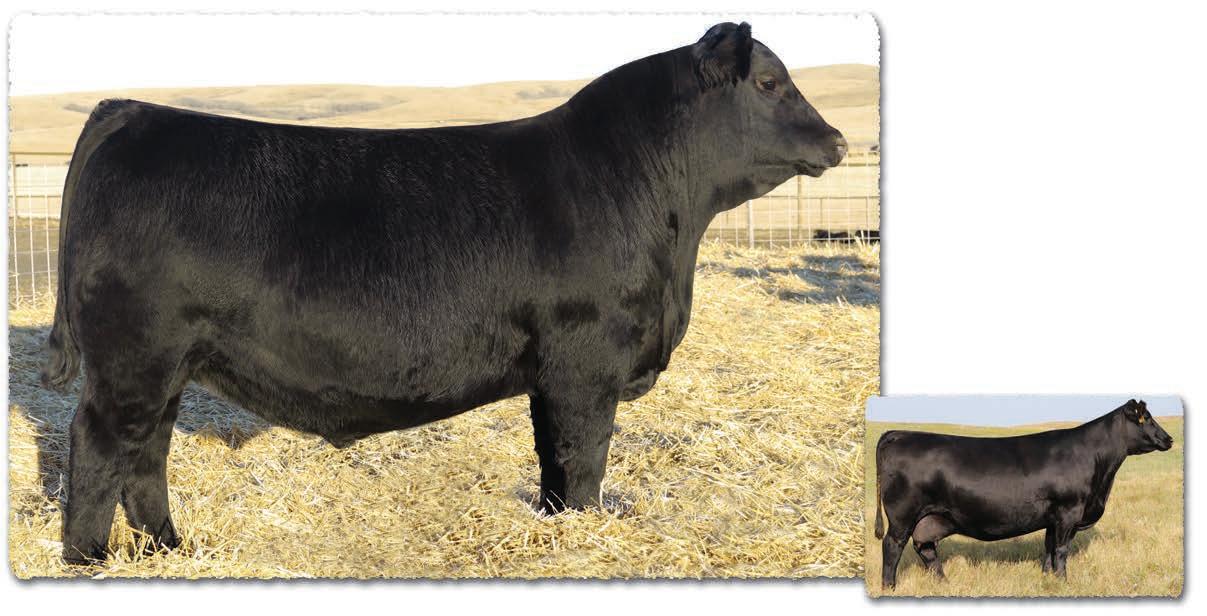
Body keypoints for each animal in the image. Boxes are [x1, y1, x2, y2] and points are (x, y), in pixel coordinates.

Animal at [40, 22, 847, 564]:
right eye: (770, 84)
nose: (838, 140)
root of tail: (134, 110)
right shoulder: (585, 363)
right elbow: (583, 459)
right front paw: (582, 533)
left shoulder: (551, 372)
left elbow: (553, 465)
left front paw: (554, 527)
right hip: (134, 359)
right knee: (100, 446)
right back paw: (90, 560)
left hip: (166, 365)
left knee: (147, 454)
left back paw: (169, 549)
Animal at [873, 399, 1174, 589]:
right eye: (1146, 418)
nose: (1169, 439)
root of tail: (897, 433)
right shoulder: (1069, 511)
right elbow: (1062, 550)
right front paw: (1064, 582)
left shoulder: (1053, 518)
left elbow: (1049, 548)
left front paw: (1048, 579)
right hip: (902, 515)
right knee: (892, 546)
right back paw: (890, 587)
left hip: (929, 518)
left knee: (925, 548)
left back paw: (944, 583)